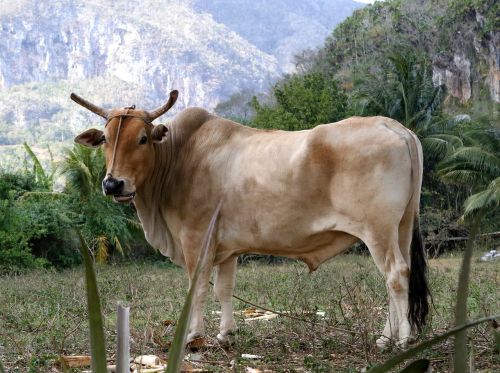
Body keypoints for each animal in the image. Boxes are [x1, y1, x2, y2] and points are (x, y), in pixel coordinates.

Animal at [71, 88, 430, 348]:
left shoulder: (196, 239)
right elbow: (224, 289)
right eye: (106, 139)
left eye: (142, 139)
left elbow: (197, 289)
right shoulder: (227, 248)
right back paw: (386, 337)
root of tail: (396, 128)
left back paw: (401, 340)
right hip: (400, 227)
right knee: (398, 278)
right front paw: (225, 333)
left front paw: (192, 336)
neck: (177, 158)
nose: (113, 184)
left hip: (377, 230)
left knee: (396, 275)